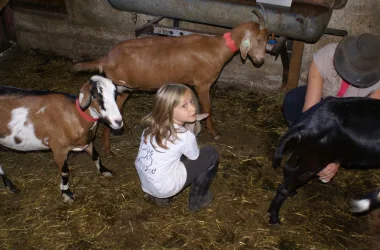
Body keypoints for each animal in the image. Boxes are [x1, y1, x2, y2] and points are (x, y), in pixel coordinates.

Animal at [71, 10, 268, 157]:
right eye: (258, 39)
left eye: (267, 40)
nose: (260, 61)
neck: (218, 48)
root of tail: (105, 59)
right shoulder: (202, 84)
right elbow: (208, 108)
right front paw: (215, 133)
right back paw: (108, 151)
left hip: (125, 88)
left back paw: (124, 129)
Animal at [268, 96, 380, 224]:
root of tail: (306, 122)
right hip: (314, 160)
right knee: (285, 186)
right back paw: (274, 217)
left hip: (302, 151)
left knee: (288, 168)